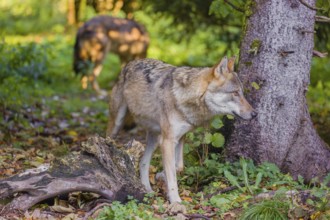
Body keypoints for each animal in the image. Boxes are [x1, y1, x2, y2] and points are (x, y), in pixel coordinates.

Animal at [107, 56, 256, 203]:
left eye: (242, 93)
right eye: (235, 93)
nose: (255, 114)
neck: (186, 96)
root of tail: (131, 63)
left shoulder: (180, 137)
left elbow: (178, 166)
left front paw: (161, 175)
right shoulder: (168, 141)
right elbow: (172, 175)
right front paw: (176, 202)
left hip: (155, 138)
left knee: (143, 162)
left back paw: (148, 190)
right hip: (118, 123)